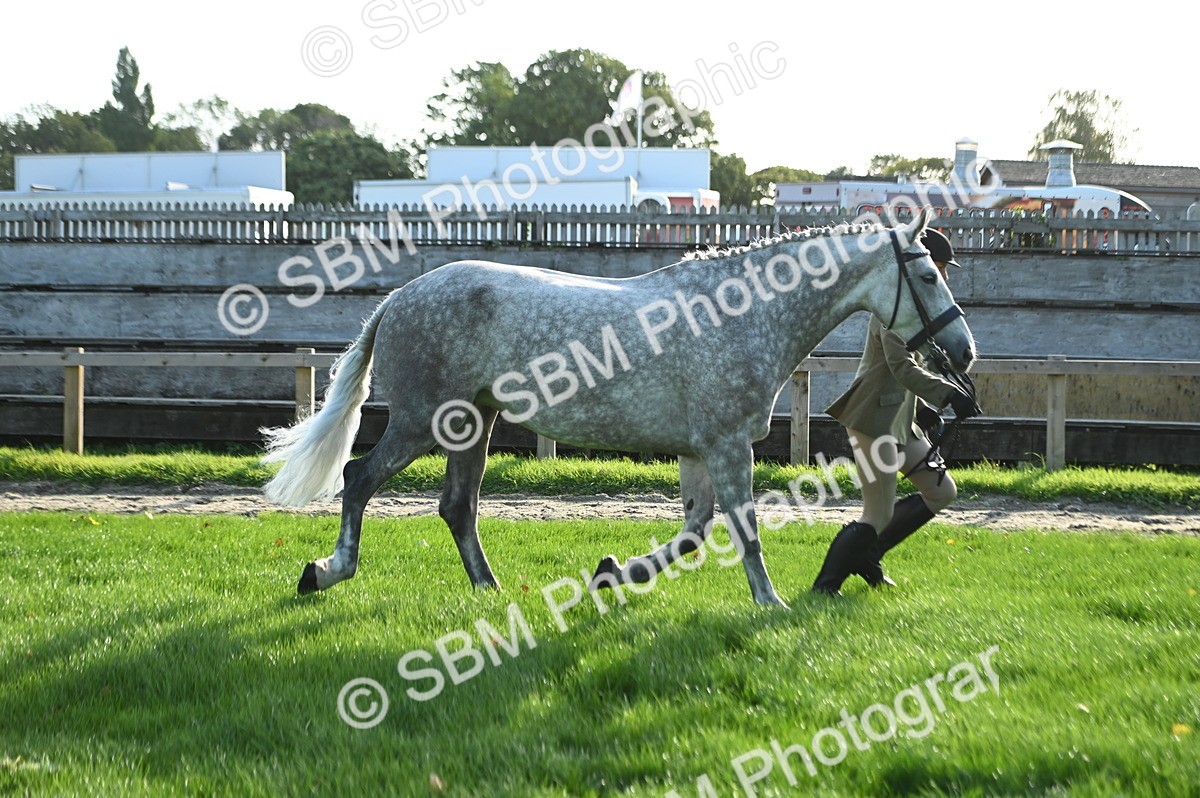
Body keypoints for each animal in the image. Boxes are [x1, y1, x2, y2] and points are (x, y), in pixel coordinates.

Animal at [261, 208, 975, 606]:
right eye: (929, 275)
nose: (963, 354)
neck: (743, 315)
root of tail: (399, 297)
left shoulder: (699, 450)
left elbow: (694, 532)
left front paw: (611, 574)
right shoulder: (726, 445)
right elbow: (742, 530)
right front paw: (771, 603)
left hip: (472, 423)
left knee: (457, 507)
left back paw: (489, 591)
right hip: (421, 423)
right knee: (360, 479)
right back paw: (324, 573)